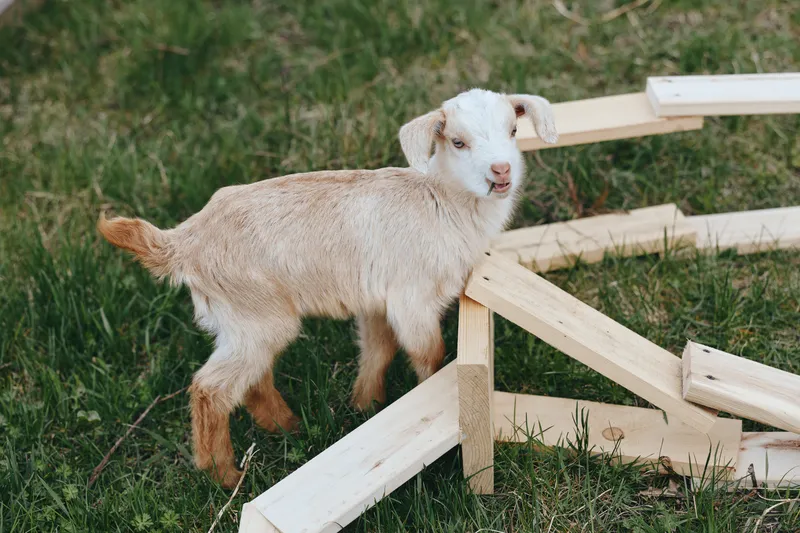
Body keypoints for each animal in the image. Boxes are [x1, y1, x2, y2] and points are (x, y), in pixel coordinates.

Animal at [98, 88, 558, 487]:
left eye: (513, 131)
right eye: (458, 142)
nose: (501, 172)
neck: (441, 202)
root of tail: (183, 242)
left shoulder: (377, 299)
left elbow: (378, 349)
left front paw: (365, 403)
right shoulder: (412, 297)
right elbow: (430, 354)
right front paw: (431, 400)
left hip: (242, 322)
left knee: (252, 381)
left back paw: (288, 427)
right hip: (256, 314)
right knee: (211, 390)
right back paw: (224, 475)